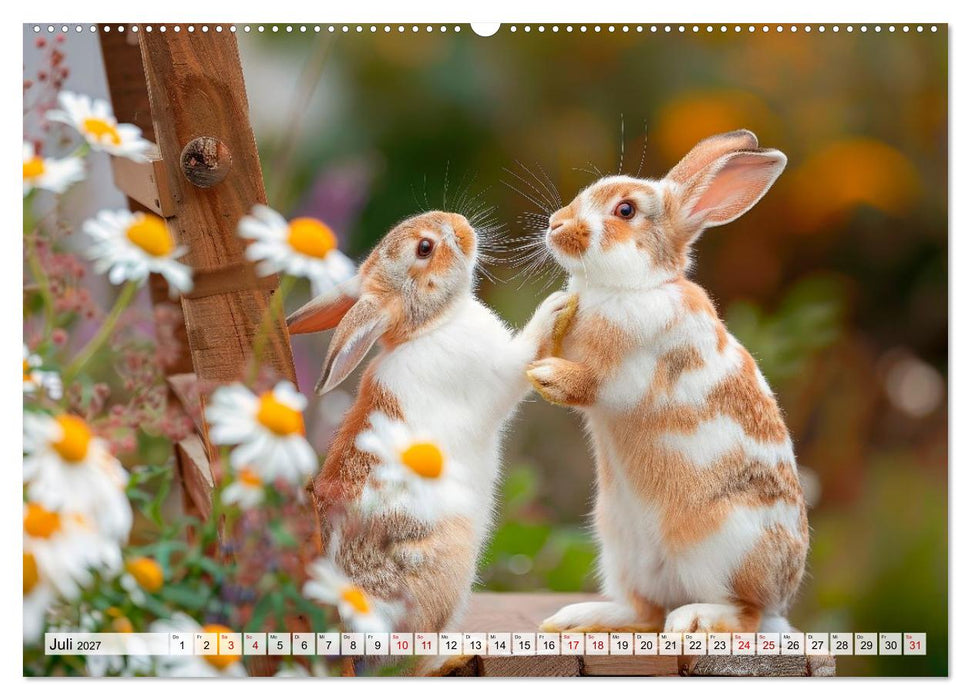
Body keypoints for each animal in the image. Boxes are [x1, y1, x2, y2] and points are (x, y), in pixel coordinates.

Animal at [287, 210, 574, 641]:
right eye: (425, 248)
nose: (460, 224)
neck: (433, 325)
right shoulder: (500, 372)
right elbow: (524, 355)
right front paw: (555, 304)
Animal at [525, 130, 809, 635]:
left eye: (625, 211)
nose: (557, 224)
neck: (628, 289)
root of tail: (782, 599)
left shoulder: (633, 374)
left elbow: (595, 384)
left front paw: (547, 377)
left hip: (727, 549)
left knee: (743, 613)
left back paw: (693, 619)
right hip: (620, 549)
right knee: (644, 610)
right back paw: (577, 619)